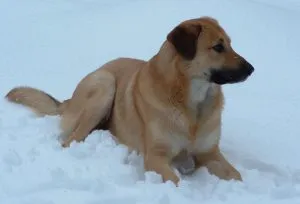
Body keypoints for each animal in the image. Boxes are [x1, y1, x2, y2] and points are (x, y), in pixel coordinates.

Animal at [5, 16, 253, 186]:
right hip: (104, 85)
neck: (192, 105)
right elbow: (175, 181)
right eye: (218, 47)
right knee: (70, 140)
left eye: (230, 44)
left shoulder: (209, 153)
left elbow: (237, 175)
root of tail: (69, 99)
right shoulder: (156, 157)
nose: (251, 69)